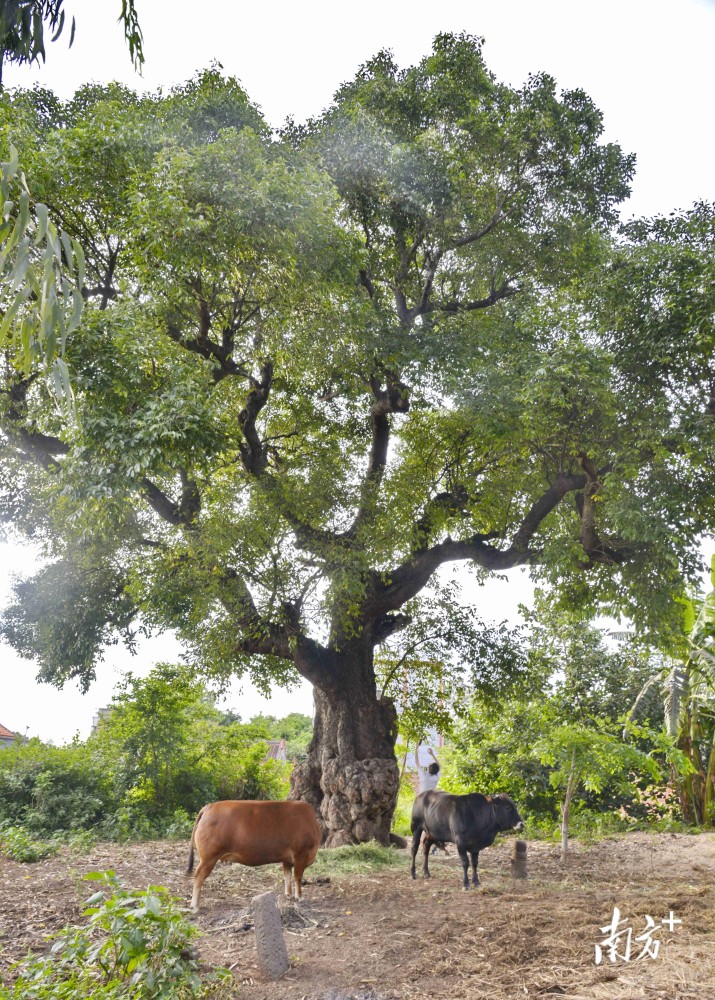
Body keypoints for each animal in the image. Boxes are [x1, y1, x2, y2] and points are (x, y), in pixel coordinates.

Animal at [186, 800, 320, 912]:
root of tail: (209, 806)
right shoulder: (301, 854)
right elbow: (298, 877)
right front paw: (300, 897)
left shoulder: (287, 859)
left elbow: (287, 875)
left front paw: (288, 894)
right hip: (208, 858)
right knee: (198, 876)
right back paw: (195, 905)